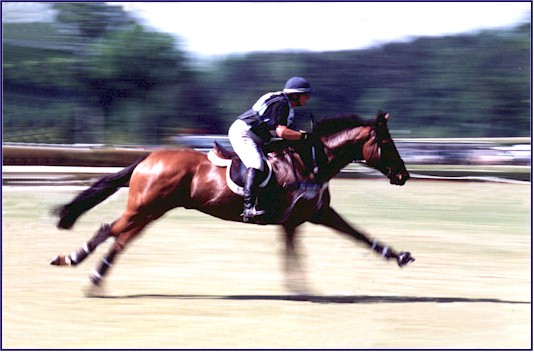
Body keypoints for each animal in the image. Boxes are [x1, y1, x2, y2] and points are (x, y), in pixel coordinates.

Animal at [51, 110, 414, 292]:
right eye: (386, 142)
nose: (403, 175)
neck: (311, 160)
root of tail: (148, 158)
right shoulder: (297, 219)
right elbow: (297, 254)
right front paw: (303, 290)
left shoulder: (313, 215)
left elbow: (358, 236)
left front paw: (399, 256)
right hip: (146, 207)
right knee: (110, 229)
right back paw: (72, 260)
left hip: (151, 211)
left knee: (120, 238)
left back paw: (95, 277)